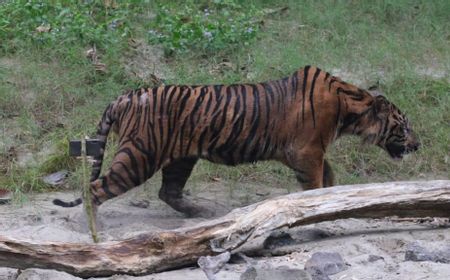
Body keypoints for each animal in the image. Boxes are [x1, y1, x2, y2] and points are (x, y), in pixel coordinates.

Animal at [53, 66, 422, 219]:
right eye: (404, 126)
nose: (418, 145)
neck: (350, 107)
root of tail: (124, 96)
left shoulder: (312, 152)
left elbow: (329, 176)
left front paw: (333, 199)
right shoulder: (307, 152)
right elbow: (316, 182)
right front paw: (318, 204)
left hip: (180, 158)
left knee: (167, 191)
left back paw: (198, 213)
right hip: (139, 155)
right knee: (96, 189)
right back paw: (94, 229)